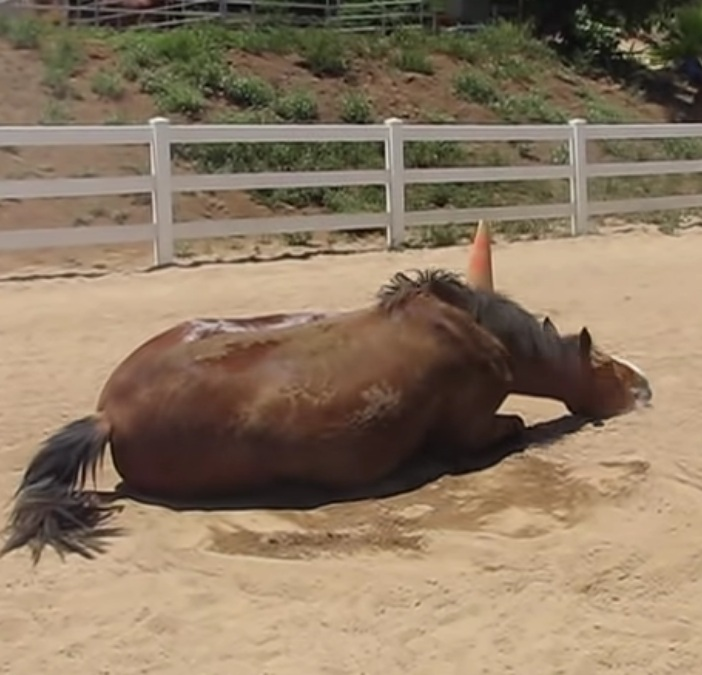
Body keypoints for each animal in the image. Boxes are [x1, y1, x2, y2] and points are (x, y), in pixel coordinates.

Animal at [0, 268, 652, 564]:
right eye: (606, 365)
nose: (645, 388)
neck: (476, 335)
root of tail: (107, 414)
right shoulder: (472, 431)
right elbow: (513, 432)